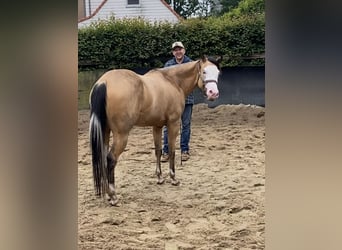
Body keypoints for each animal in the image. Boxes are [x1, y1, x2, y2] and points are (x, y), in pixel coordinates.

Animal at [89, 56, 220, 205]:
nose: (213, 93)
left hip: (105, 132)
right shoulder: (173, 124)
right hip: (121, 135)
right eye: (204, 71)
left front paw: (160, 178)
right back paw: (113, 195)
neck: (173, 81)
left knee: (103, 156)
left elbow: (158, 151)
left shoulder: (157, 126)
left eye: (218, 73)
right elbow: (172, 151)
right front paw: (173, 178)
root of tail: (103, 82)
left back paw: (106, 192)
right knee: (110, 159)